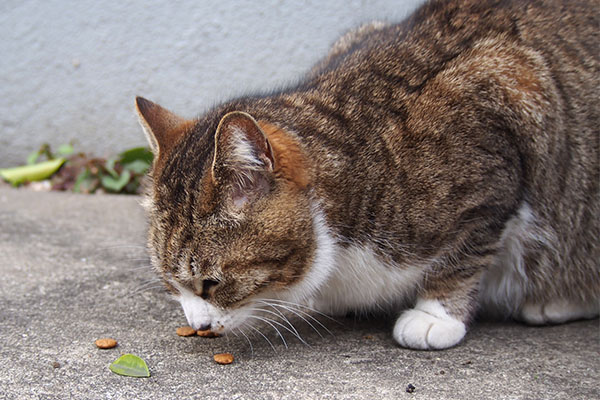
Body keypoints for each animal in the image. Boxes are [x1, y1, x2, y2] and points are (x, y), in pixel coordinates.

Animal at [134, 0, 596, 350]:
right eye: (171, 284)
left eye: (211, 284)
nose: (198, 326)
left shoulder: (503, 113)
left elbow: (465, 255)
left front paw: (436, 314)